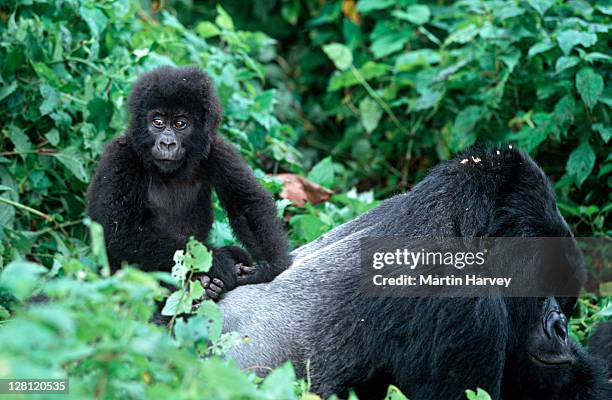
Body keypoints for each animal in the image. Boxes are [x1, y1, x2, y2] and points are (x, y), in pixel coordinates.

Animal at [87, 66, 290, 300]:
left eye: (180, 124)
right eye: (158, 122)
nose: (167, 143)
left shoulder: (218, 149)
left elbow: (246, 205)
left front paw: (271, 265)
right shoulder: (119, 156)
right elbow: (121, 233)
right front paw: (218, 262)